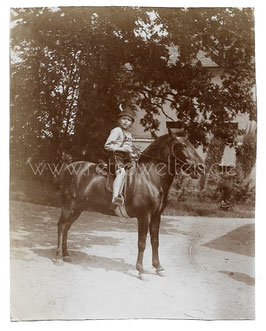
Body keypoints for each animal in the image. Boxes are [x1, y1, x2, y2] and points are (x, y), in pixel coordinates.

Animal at [54, 132, 204, 274]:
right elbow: (142, 243)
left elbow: (155, 241)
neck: (150, 177)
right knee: (61, 226)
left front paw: (158, 267)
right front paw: (140, 270)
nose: (201, 167)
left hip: (77, 209)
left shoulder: (156, 216)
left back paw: (66, 255)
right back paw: (58, 257)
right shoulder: (144, 216)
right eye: (183, 146)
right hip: (68, 207)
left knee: (66, 227)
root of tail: (69, 168)